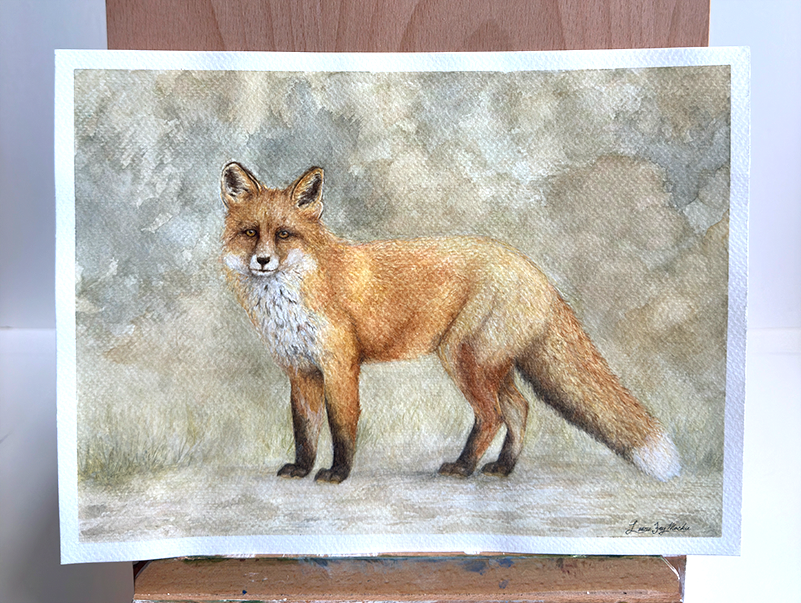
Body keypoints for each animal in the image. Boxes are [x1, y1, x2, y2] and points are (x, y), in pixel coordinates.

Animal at [219, 162, 681, 484]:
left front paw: (337, 474)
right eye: (249, 232)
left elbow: (341, 425)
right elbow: (304, 428)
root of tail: (536, 272)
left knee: (493, 415)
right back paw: (502, 467)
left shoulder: (339, 365)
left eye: (283, 233)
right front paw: (302, 468)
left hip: (463, 358)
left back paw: (463, 467)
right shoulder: (299, 370)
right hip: (492, 365)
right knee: (519, 408)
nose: (263, 261)